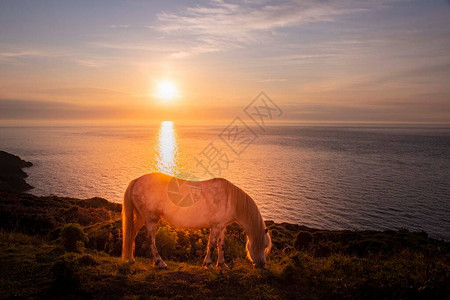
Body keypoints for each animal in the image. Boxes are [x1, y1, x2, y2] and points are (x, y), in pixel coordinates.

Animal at [119, 172, 272, 268]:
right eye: (265, 245)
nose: (262, 265)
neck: (231, 199)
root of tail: (137, 181)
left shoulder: (222, 226)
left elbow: (221, 245)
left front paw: (222, 265)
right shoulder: (215, 227)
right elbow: (212, 245)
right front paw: (208, 264)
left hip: (140, 217)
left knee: (132, 234)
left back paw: (131, 259)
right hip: (151, 219)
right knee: (150, 240)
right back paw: (160, 263)